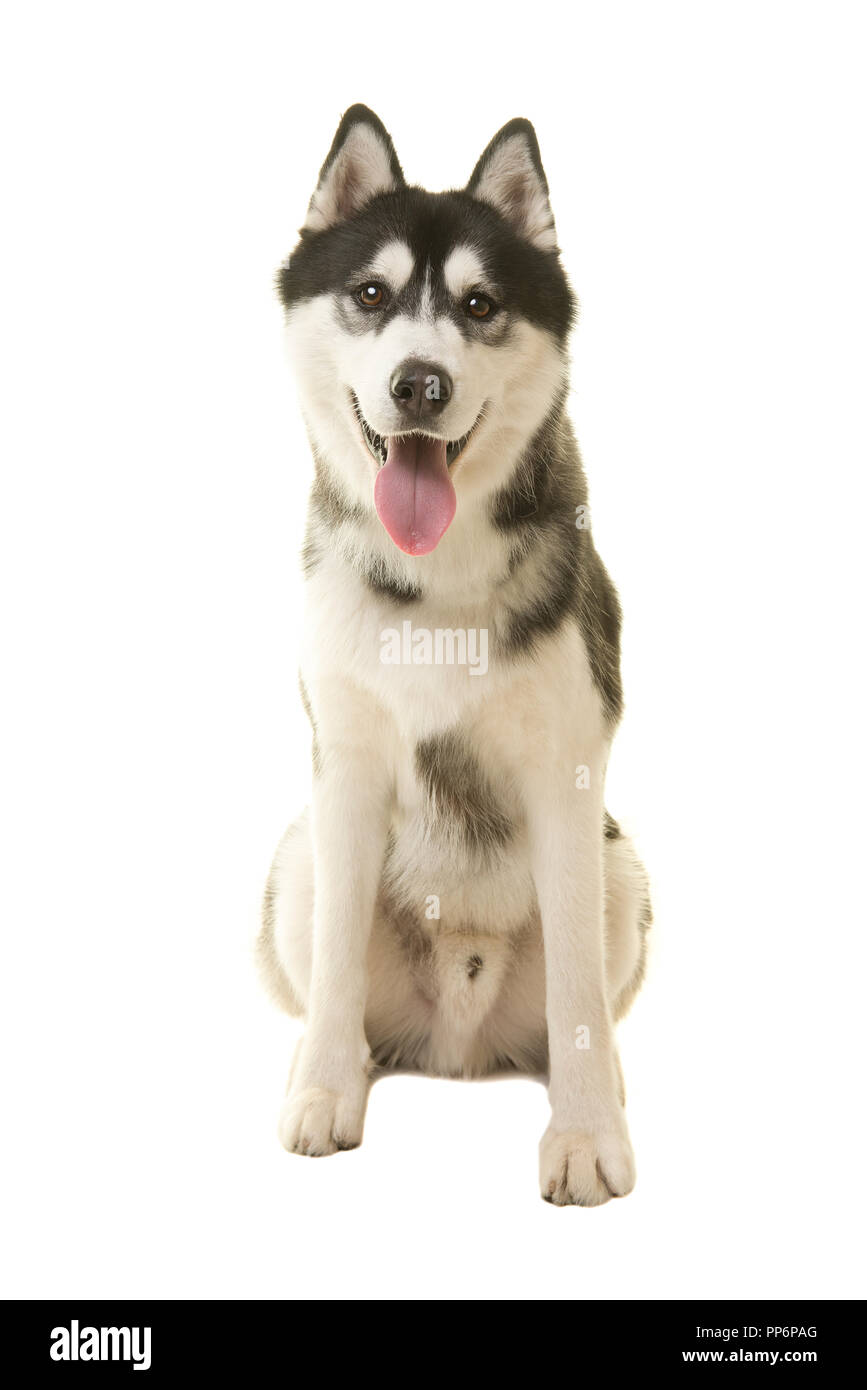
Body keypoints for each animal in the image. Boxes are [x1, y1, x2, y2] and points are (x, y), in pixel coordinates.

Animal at [257, 105, 650, 1206]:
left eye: (478, 305)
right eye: (372, 294)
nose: (419, 384)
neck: (436, 581)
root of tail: (460, 1048)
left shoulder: (567, 775)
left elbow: (576, 990)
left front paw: (585, 1136)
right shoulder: (342, 772)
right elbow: (337, 965)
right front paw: (321, 1092)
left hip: (624, 871)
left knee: (577, 1012)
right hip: (295, 863)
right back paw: (335, 1065)